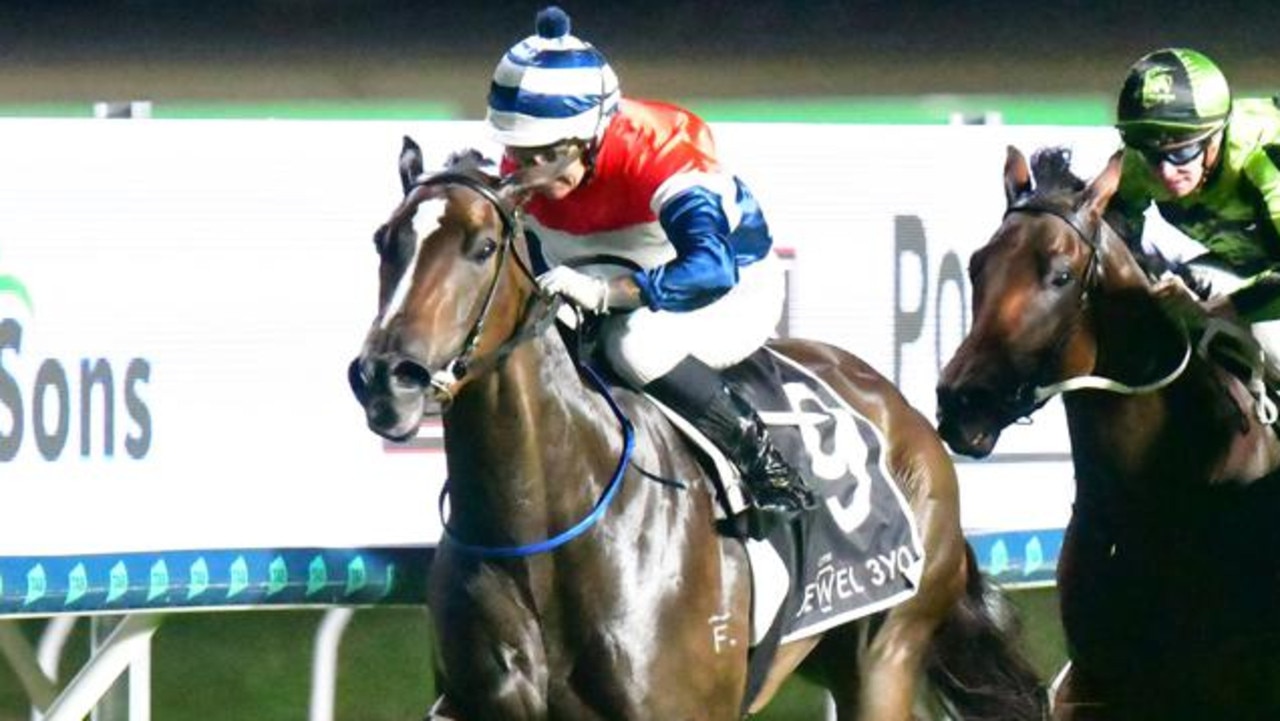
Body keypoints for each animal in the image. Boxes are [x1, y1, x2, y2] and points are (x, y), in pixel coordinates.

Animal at [348, 140, 1039, 721]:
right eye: (384, 240)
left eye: (484, 246)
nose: (386, 377)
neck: (545, 528)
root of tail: (902, 409)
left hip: (884, 652)